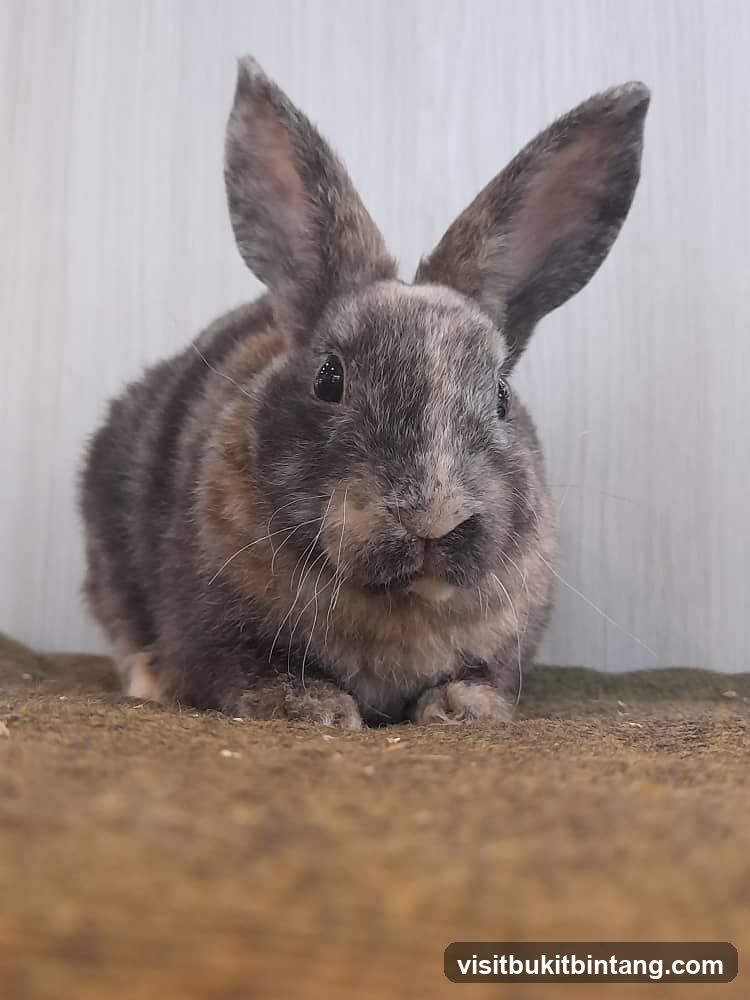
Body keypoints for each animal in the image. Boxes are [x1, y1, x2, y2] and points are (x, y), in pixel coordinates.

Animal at [80, 56, 649, 729]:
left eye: (502, 395)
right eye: (329, 379)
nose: (435, 518)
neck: (398, 601)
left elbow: (480, 676)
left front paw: (463, 709)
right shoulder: (215, 626)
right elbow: (248, 670)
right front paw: (314, 709)